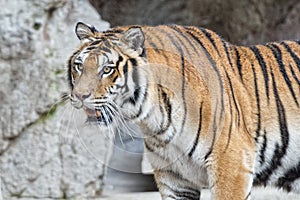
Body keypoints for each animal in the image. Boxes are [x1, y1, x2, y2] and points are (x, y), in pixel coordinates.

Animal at [67, 21, 300, 199]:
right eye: (79, 66)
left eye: (107, 69)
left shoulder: (231, 164)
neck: (154, 118)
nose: (79, 96)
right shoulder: (174, 177)